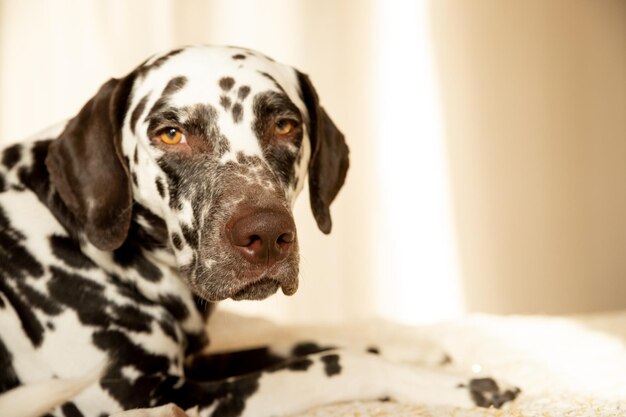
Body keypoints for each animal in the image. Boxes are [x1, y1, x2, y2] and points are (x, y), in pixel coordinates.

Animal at [0, 46, 520, 416]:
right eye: (171, 133)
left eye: (286, 125)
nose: (267, 235)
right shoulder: (142, 394)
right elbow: (335, 362)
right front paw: (458, 386)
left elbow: (304, 342)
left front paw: (412, 346)